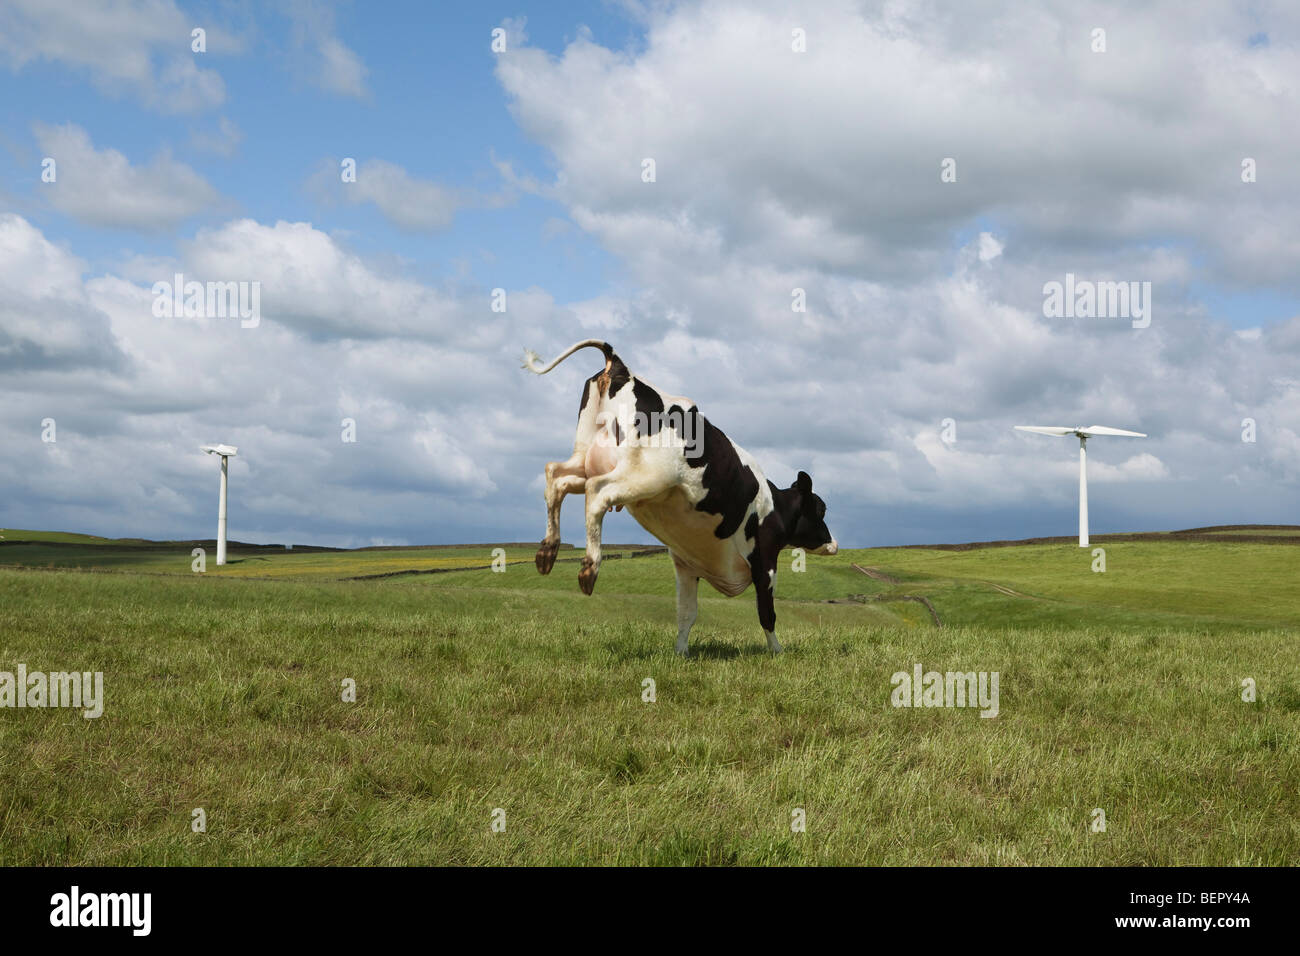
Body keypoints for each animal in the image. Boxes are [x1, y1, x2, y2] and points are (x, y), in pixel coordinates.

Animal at [522, 339, 838, 656]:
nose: (833, 543)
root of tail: (622, 367)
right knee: (597, 492)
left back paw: (547, 552)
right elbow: (767, 613)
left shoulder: (687, 565)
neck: (773, 507)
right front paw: (777, 651)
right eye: (821, 509)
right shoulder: (765, 562)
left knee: (556, 477)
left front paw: (681, 652)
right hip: (643, 475)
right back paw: (589, 568)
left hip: (585, 458)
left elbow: (687, 612)